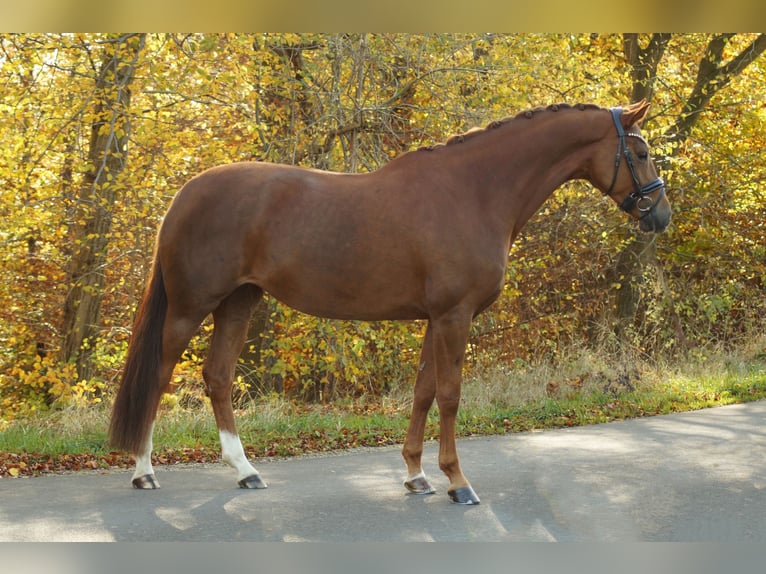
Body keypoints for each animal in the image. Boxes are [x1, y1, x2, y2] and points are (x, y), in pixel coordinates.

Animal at [109, 101, 672, 506]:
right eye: (641, 152)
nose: (661, 215)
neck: (474, 192)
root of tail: (186, 193)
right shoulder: (454, 316)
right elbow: (450, 395)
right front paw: (457, 483)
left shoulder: (436, 319)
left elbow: (423, 393)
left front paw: (417, 475)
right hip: (190, 306)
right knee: (159, 376)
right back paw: (144, 471)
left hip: (238, 302)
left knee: (218, 377)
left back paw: (246, 471)